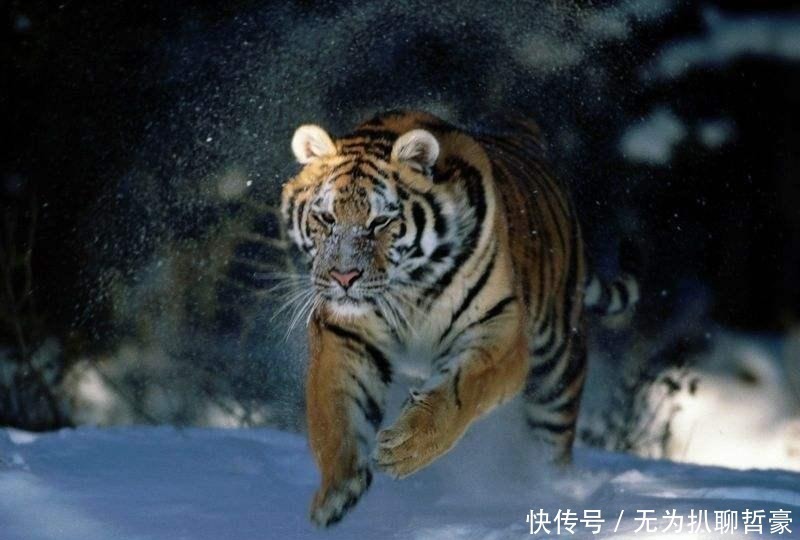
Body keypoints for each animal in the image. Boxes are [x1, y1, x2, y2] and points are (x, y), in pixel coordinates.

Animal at [280, 110, 638, 527]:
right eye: (326, 218)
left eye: (380, 222)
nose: (344, 277)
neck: (409, 288)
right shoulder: (345, 333)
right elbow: (336, 411)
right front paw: (337, 491)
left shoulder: (499, 329)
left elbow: (460, 392)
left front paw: (406, 448)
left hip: (557, 373)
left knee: (552, 447)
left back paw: (553, 494)